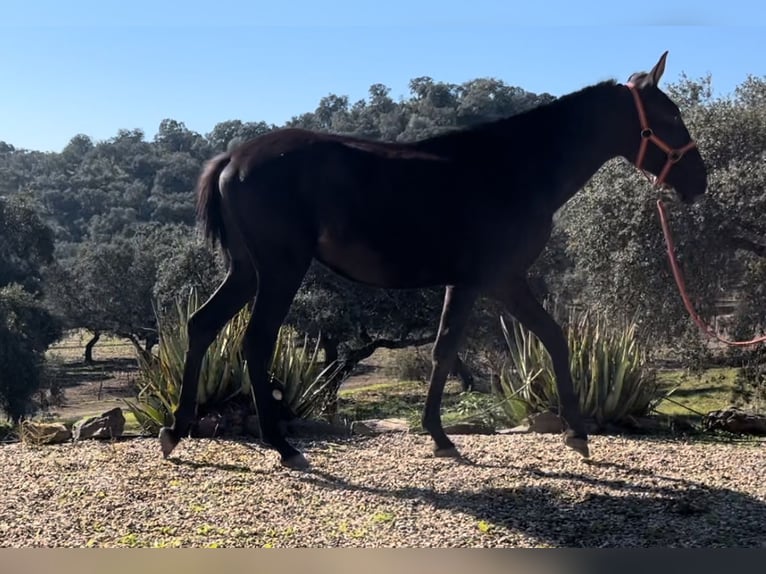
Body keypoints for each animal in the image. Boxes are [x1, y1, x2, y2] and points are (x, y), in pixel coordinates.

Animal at [159, 51, 712, 470]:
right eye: (669, 116)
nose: (699, 181)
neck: (515, 167)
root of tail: (232, 158)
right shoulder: (496, 280)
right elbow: (530, 340)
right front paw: (574, 434)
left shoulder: (469, 283)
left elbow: (455, 349)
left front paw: (441, 435)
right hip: (280, 270)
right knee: (254, 343)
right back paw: (282, 446)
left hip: (247, 271)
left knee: (202, 324)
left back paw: (178, 429)